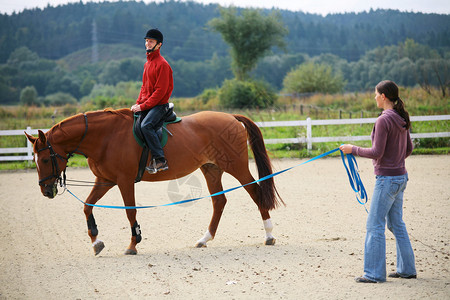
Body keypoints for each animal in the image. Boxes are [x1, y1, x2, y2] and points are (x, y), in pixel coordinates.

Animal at [24, 108, 284, 255]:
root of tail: (230, 117)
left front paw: (133, 244)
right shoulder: (105, 180)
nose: (46, 190)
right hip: (211, 169)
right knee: (219, 202)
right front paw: (96, 242)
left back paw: (269, 235)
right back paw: (204, 239)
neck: (105, 137)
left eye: (45, 159)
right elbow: (87, 206)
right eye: (35, 159)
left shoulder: (124, 181)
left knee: (256, 193)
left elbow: (130, 211)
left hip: (236, 166)